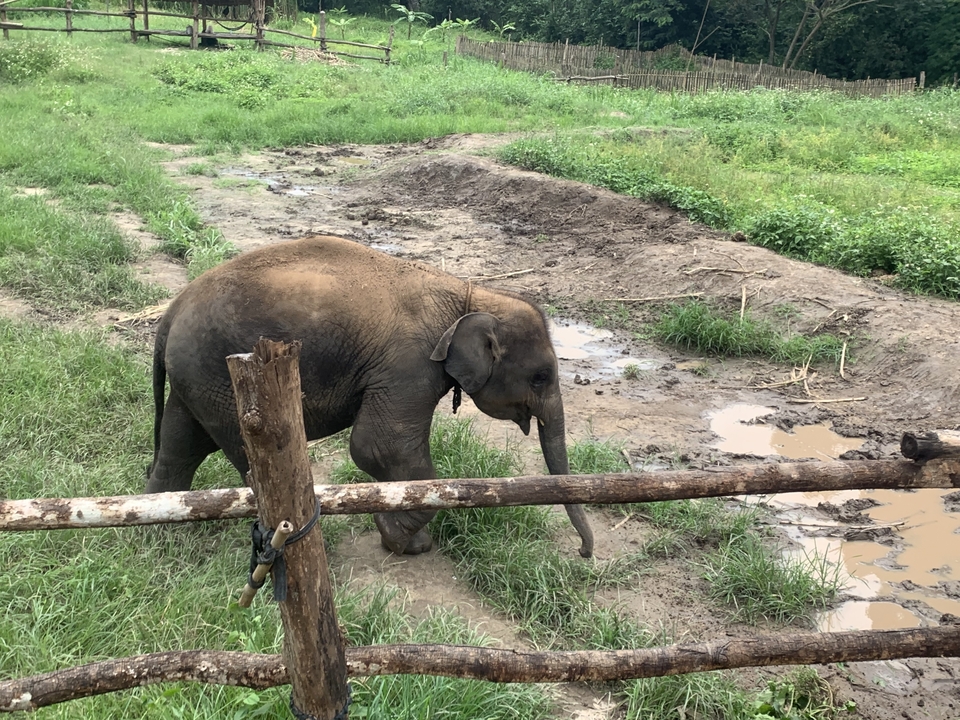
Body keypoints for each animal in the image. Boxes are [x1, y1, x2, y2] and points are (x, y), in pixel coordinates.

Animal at [146, 235, 594, 558]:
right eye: (541, 377)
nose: (583, 553)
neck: (470, 296)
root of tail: (169, 314)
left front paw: (404, 540)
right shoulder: (408, 365)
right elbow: (380, 448)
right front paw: (402, 542)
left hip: (199, 380)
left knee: (180, 444)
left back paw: (158, 538)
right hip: (217, 376)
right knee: (243, 462)